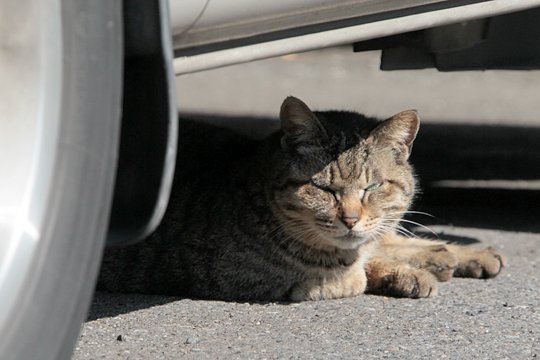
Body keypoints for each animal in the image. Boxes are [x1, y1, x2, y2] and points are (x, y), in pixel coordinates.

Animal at [99, 95, 508, 300]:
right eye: (324, 188)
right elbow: (355, 275)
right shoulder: (235, 278)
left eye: (372, 187)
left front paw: (434, 259)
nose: (350, 218)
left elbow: (374, 250)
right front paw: (405, 272)